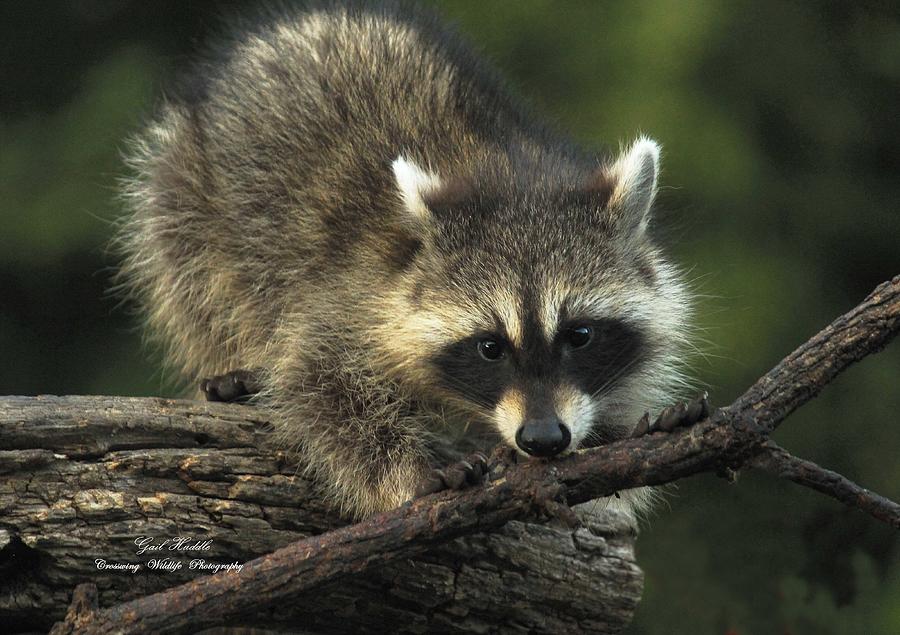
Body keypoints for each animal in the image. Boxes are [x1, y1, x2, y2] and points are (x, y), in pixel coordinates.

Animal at [116, 1, 692, 520]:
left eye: (579, 335)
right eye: (489, 347)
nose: (544, 438)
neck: (512, 175)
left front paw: (618, 432)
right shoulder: (351, 294)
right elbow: (319, 384)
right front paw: (408, 473)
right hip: (183, 189)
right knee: (193, 281)